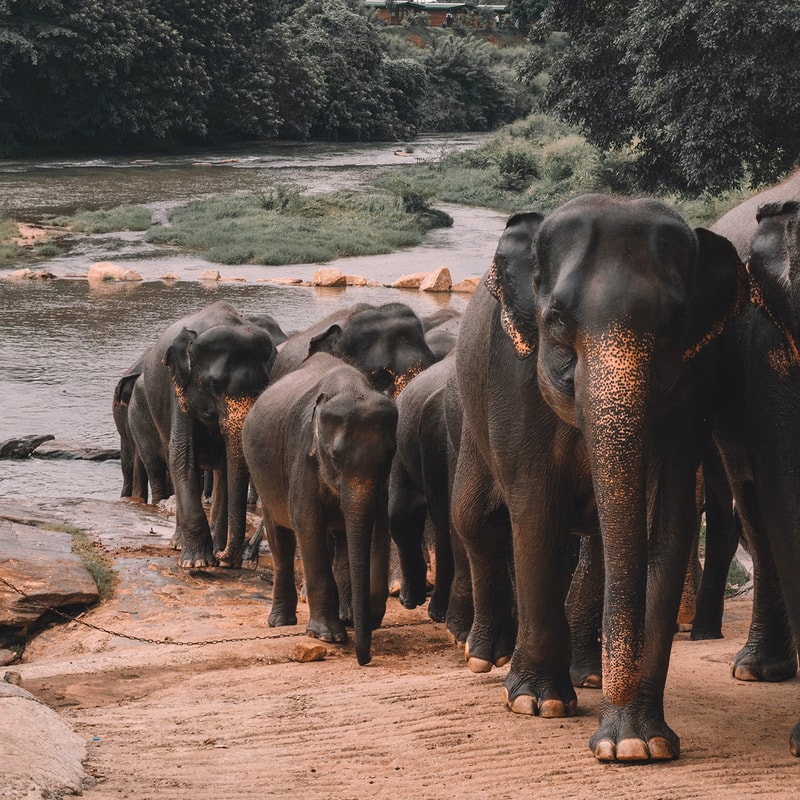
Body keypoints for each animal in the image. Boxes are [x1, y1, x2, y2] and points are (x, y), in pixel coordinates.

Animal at [127, 300, 277, 568]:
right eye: (214, 386)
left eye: (264, 386)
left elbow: (227, 465)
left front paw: (217, 555)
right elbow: (182, 456)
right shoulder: (178, 390)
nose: (225, 558)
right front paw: (198, 563)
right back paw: (178, 544)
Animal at [242, 352, 398, 666]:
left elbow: (376, 525)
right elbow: (307, 523)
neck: (352, 388)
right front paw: (328, 636)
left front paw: (362, 619)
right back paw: (281, 622)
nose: (364, 659)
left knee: (338, 539)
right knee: (281, 539)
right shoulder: (303, 454)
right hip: (263, 475)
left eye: (389, 456)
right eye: (335, 458)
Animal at [450, 195, 743, 762]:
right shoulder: (512, 377)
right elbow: (535, 513)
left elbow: (666, 524)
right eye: (557, 320)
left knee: (600, 544)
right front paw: (538, 705)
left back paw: (588, 676)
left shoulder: (693, 387)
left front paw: (637, 744)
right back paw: (486, 658)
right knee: (475, 519)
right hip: (472, 416)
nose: (605, 740)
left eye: (676, 324)